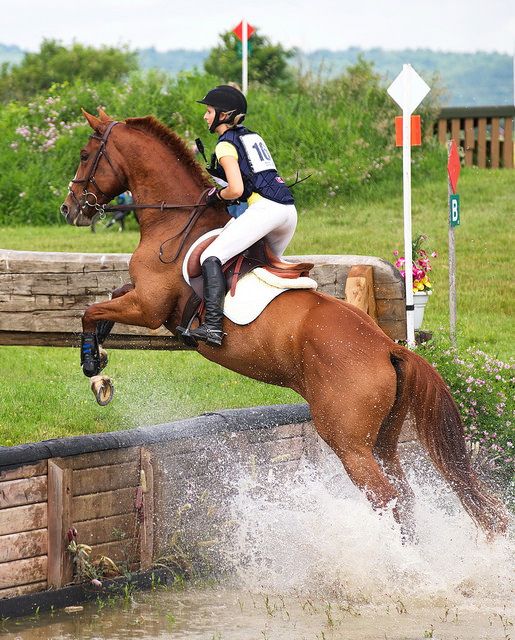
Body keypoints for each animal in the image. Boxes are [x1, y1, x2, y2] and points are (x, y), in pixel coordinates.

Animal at [61, 111, 508, 540]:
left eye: (85, 155)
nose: (70, 208)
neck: (173, 224)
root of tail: (388, 347)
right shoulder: (139, 298)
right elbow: (104, 305)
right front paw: (100, 361)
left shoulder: (149, 308)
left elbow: (91, 311)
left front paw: (93, 370)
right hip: (384, 439)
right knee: (405, 496)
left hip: (348, 442)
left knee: (385, 497)